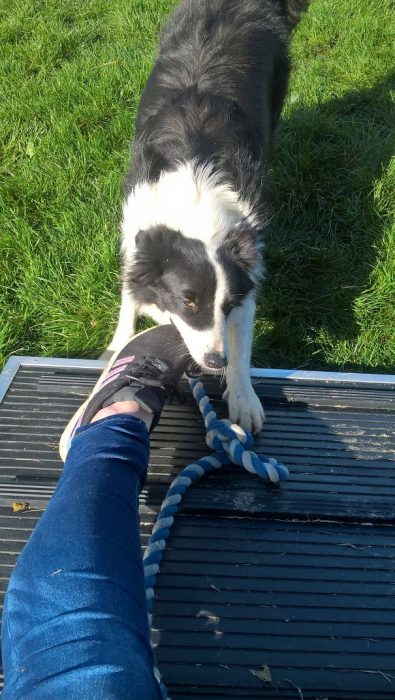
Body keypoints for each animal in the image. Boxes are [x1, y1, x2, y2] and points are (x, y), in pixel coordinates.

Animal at [106, 1, 310, 432]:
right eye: (189, 301)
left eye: (227, 303)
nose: (216, 362)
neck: (194, 206)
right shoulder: (135, 231)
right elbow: (132, 297)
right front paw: (120, 341)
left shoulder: (250, 268)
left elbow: (243, 344)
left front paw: (244, 398)